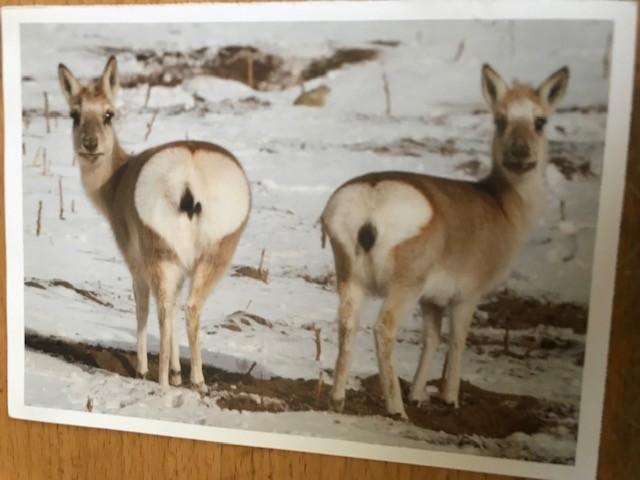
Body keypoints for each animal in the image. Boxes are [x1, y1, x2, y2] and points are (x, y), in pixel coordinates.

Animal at [58, 56, 251, 392]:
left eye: (108, 113)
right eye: (75, 113)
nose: (90, 144)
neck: (116, 181)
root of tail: (190, 173)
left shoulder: (134, 263)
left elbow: (141, 308)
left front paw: (143, 369)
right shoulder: (183, 269)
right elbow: (173, 305)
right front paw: (176, 371)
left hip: (159, 258)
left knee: (161, 310)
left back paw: (162, 381)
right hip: (212, 256)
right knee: (187, 307)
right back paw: (197, 381)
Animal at [321, 64, 569, 419]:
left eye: (540, 120)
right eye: (500, 118)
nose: (520, 152)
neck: (503, 207)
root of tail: (370, 200)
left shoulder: (432, 300)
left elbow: (432, 338)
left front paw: (418, 394)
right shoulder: (467, 294)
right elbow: (457, 340)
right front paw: (449, 399)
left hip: (349, 276)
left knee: (346, 323)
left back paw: (338, 400)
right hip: (405, 283)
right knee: (383, 328)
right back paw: (396, 408)